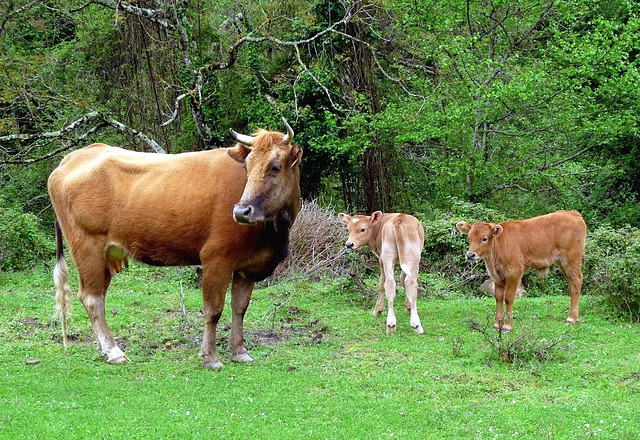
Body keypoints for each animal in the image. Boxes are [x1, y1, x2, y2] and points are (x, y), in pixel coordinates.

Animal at [47, 117, 302, 368]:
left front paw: (239, 351)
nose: (241, 211)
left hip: (106, 256)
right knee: (92, 298)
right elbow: (213, 310)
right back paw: (113, 350)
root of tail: (75, 156)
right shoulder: (216, 258)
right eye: (246, 167)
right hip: (87, 247)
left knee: (96, 296)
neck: (272, 233)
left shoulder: (247, 266)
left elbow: (239, 308)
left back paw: (104, 349)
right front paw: (210, 357)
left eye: (275, 167)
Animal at [458, 211, 588, 332]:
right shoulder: (496, 277)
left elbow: (508, 298)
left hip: (571, 259)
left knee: (576, 282)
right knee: (572, 283)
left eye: (484, 238)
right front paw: (497, 324)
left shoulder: (513, 272)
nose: (470, 255)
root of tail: (572, 213)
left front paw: (507, 326)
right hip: (562, 262)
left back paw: (571, 318)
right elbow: (498, 298)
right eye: (469, 238)